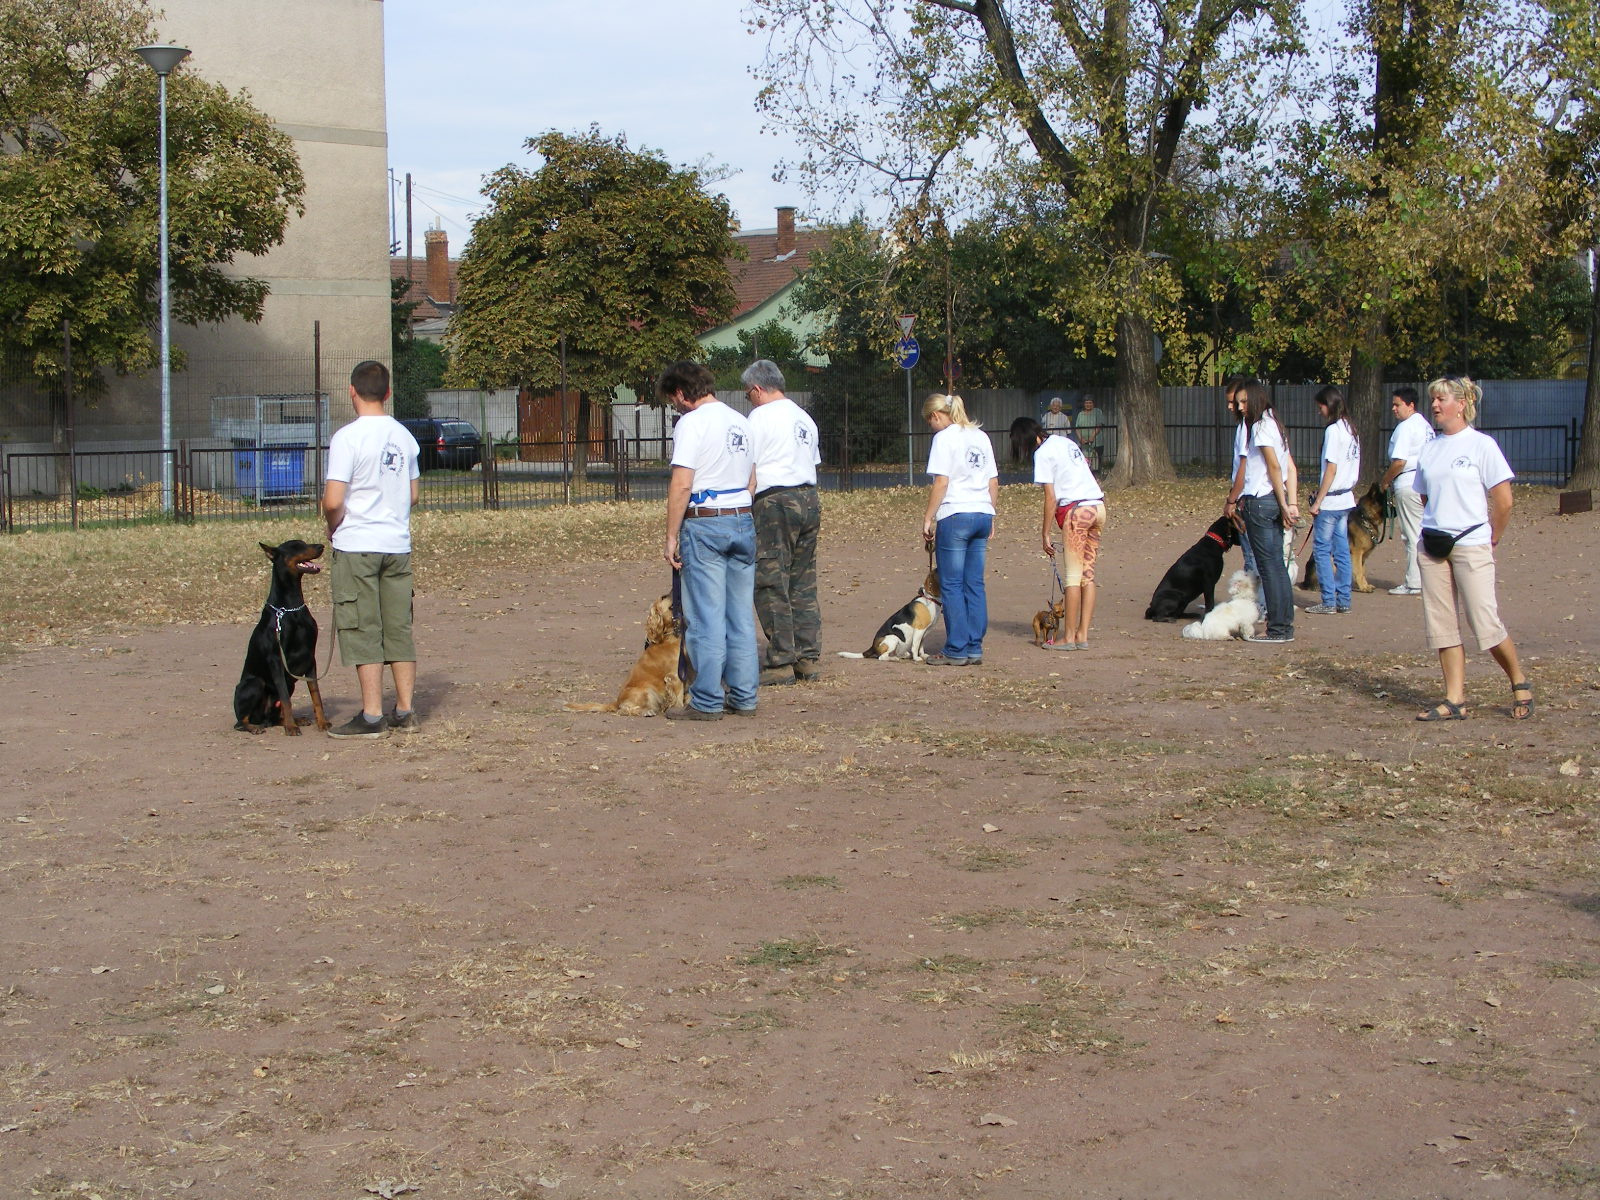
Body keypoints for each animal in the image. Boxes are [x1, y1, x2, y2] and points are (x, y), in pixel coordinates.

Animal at [233, 544, 331, 732]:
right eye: (296, 546)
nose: (321, 546)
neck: (291, 608)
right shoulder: (276, 660)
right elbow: (285, 699)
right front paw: (291, 728)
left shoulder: (310, 658)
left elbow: (316, 696)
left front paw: (322, 722)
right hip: (255, 683)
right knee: (241, 721)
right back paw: (255, 727)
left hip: (289, 685)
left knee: (273, 717)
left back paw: (296, 720)